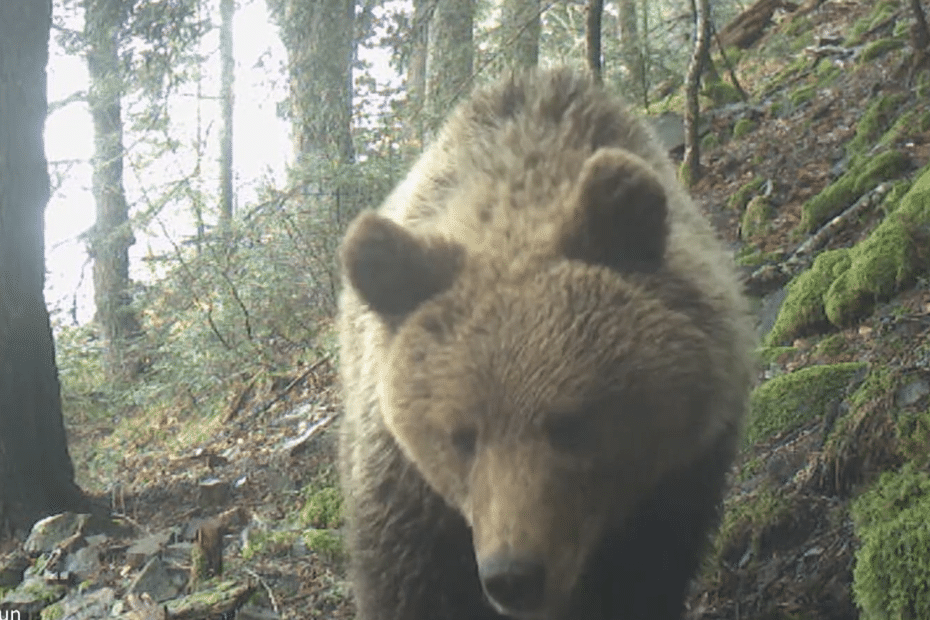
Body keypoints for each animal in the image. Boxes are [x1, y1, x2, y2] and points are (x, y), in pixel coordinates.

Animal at [336, 68, 752, 620]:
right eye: (461, 436)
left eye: (571, 423)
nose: (513, 575)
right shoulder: (406, 492)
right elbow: (408, 583)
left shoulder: (679, 473)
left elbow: (644, 577)